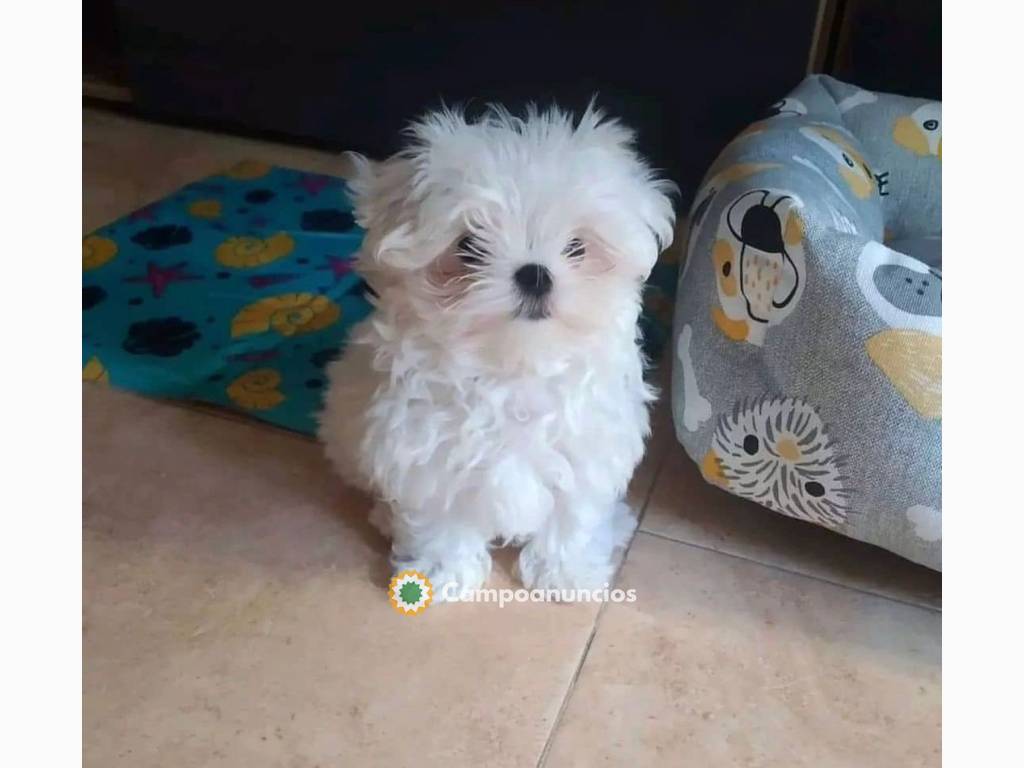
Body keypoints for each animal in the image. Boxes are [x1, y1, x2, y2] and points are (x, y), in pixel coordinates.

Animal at [315, 103, 675, 593]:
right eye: (468, 246)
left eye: (577, 247)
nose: (535, 274)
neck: (515, 370)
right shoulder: (426, 454)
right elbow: (440, 519)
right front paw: (441, 572)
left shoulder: (588, 449)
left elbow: (573, 516)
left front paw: (566, 572)